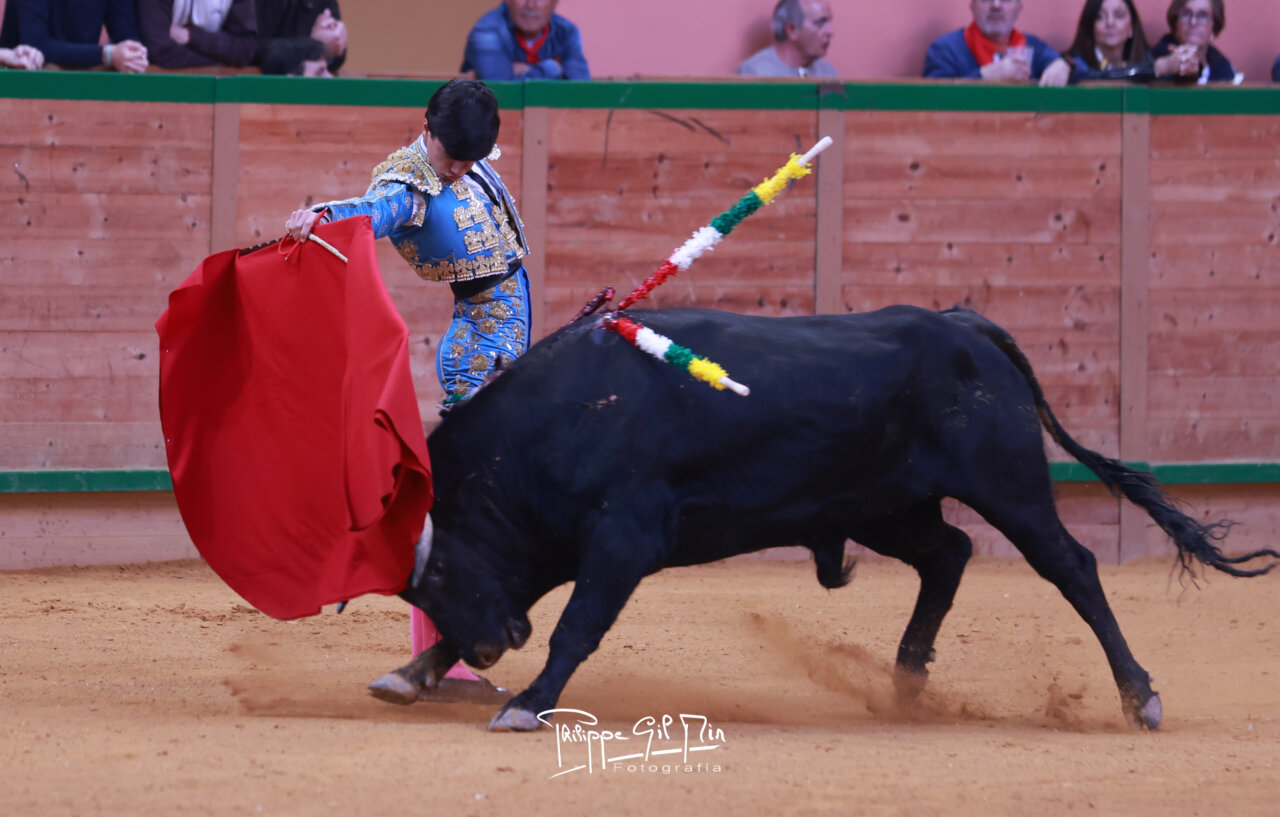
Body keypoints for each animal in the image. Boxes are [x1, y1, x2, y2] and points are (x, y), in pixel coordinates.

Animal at [367, 305, 1278, 731]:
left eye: (435, 567)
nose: (494, 649)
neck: (572, 413)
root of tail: (962, 324)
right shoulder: (552, 542)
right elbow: (538, 605)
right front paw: (414, 673)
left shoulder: (622, 538)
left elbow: (576, 627)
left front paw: (526, 700)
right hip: (882, 507)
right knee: (948, 553)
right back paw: (906, 679)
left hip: (1010, 488)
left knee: (1072, 568)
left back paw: (1140, 696)